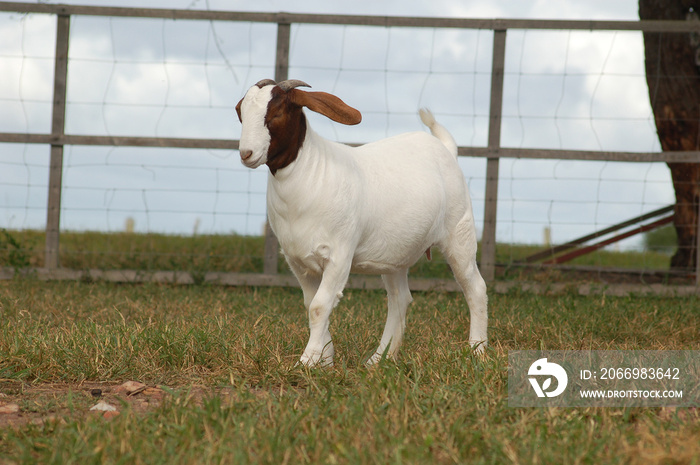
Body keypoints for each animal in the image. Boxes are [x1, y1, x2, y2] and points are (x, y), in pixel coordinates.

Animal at [235, 80, 486, 366]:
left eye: (276, 113)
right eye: (240, 112)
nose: (246, 153)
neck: (311, 173)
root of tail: (446, 149)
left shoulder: (339, 254)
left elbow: (320, 306)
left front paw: (307, 361)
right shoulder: (297, 261)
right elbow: (311, 304)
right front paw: (325, 359)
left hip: (459, 231)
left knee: (475, 288)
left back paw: (477, 350)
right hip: (395, 252)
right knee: (399, 300)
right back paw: (379, 360)